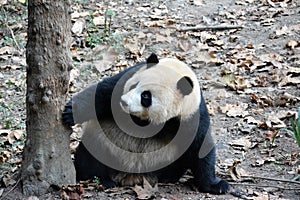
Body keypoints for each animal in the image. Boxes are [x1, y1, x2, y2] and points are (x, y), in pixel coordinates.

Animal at [62, 53, 229, 194]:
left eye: (146, 96)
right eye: (133, 85)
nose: (124, 102)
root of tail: (129, 175)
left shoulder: (190, 116)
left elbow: (200, 147)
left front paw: (216, 185)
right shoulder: (124, 79)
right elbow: (101, 94)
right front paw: (70, 113)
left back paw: (168, 177)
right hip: (104, 143)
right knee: (90, 155)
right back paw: (101, 179)